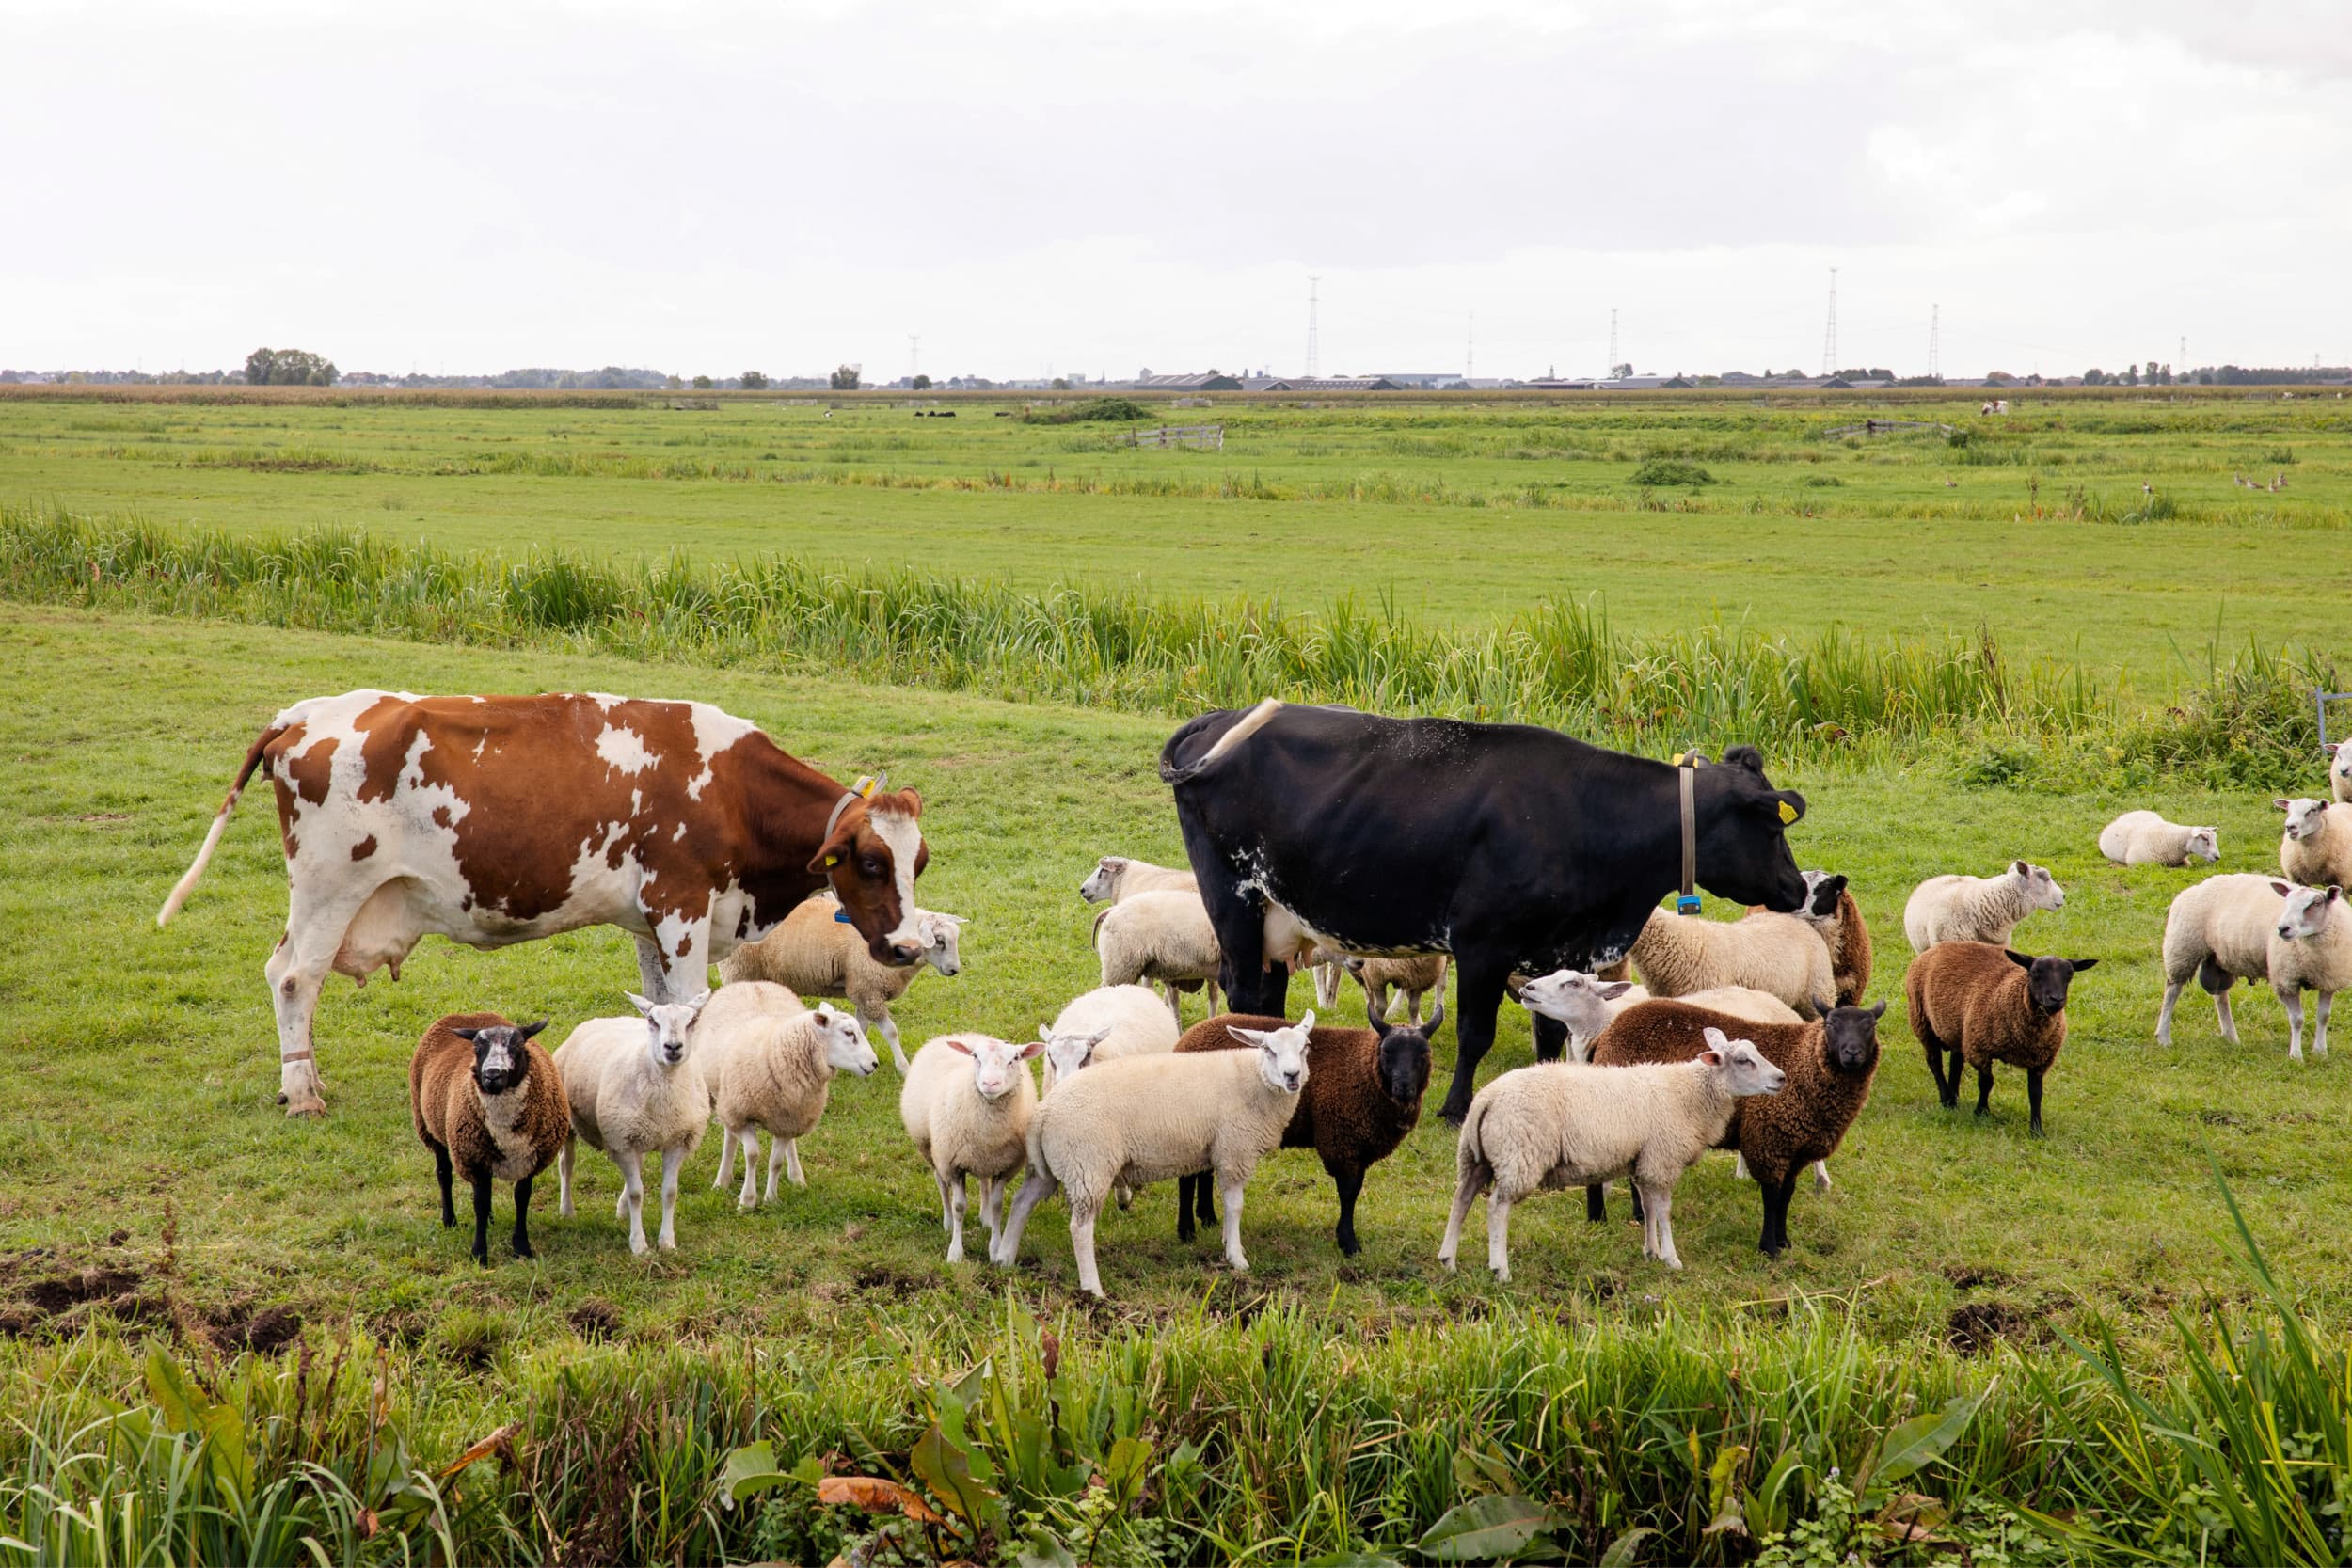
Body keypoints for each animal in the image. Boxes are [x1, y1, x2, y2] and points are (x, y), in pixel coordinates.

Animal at [156, 690, 929, 1117]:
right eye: (870, 862)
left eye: (918, 861)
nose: (906, 948)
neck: (732, 790)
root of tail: (303, 712)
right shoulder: (682, 908)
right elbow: (691, 1006)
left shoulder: (649, 920)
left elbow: (659, 1005)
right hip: (329, 887)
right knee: (295, 979)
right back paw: (302, 1092)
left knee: (284, 971)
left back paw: (306, 1077)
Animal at [1158, 699, 1809, 1123]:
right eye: (1772, 826)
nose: (1796, 888)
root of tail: (1216, 719)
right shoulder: (1481, 945)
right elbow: (1475, 1033)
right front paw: (1453, 1106)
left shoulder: (1561, 948)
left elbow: (1551, 1029)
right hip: (1234, 901)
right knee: (1244, 990)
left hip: (1274, 919)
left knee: (1265, 997)